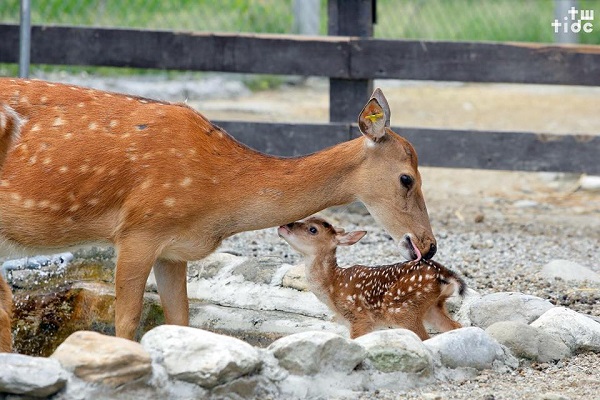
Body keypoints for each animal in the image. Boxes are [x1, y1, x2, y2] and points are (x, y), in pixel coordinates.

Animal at [0, 79, 436, 340]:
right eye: (406, 178)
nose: (429, 246)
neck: (215, 197)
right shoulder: (138, 229)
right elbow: (126, 323)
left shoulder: (172, 249)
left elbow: (181, 321)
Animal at [278, 217, 466, 340]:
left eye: (312, 229)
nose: (284, 225)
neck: (332, 285)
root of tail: (445, 274)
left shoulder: (359, 317)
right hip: (433, 307)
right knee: (456, 327)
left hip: (403, 309)